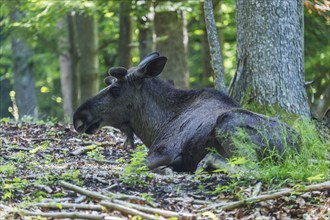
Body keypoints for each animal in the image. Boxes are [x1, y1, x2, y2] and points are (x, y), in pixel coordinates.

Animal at [73, 52, 300, 172]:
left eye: (115, 89)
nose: (78, 117)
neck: (155, 126)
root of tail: (297, 149)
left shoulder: (164, 150)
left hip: (227, 124)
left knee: (251, 167)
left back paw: (206, 163)